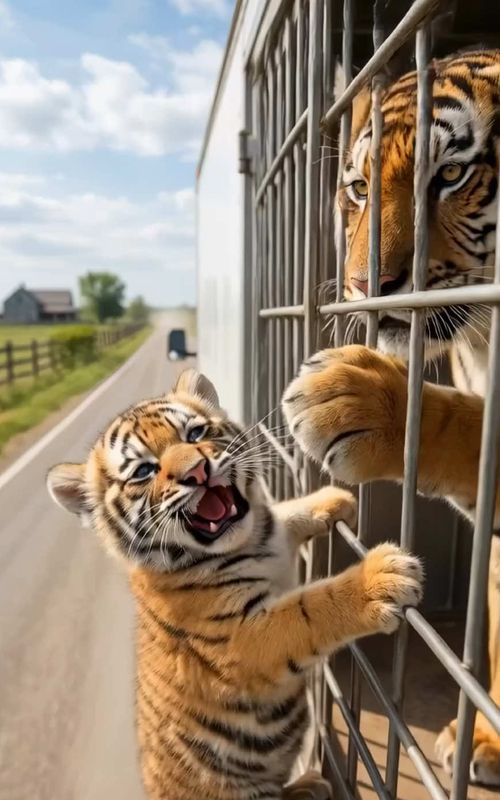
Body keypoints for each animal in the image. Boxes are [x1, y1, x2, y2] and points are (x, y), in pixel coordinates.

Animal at [46, 367, 423, 800]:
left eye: (195, 433)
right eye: (144, 471)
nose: (196, 472)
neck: (250, 542)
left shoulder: (271, 531)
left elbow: (284, 514)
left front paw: (333, 499)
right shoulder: (242, 638)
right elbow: (310, 609)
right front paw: (380, 578)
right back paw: (310, 785)